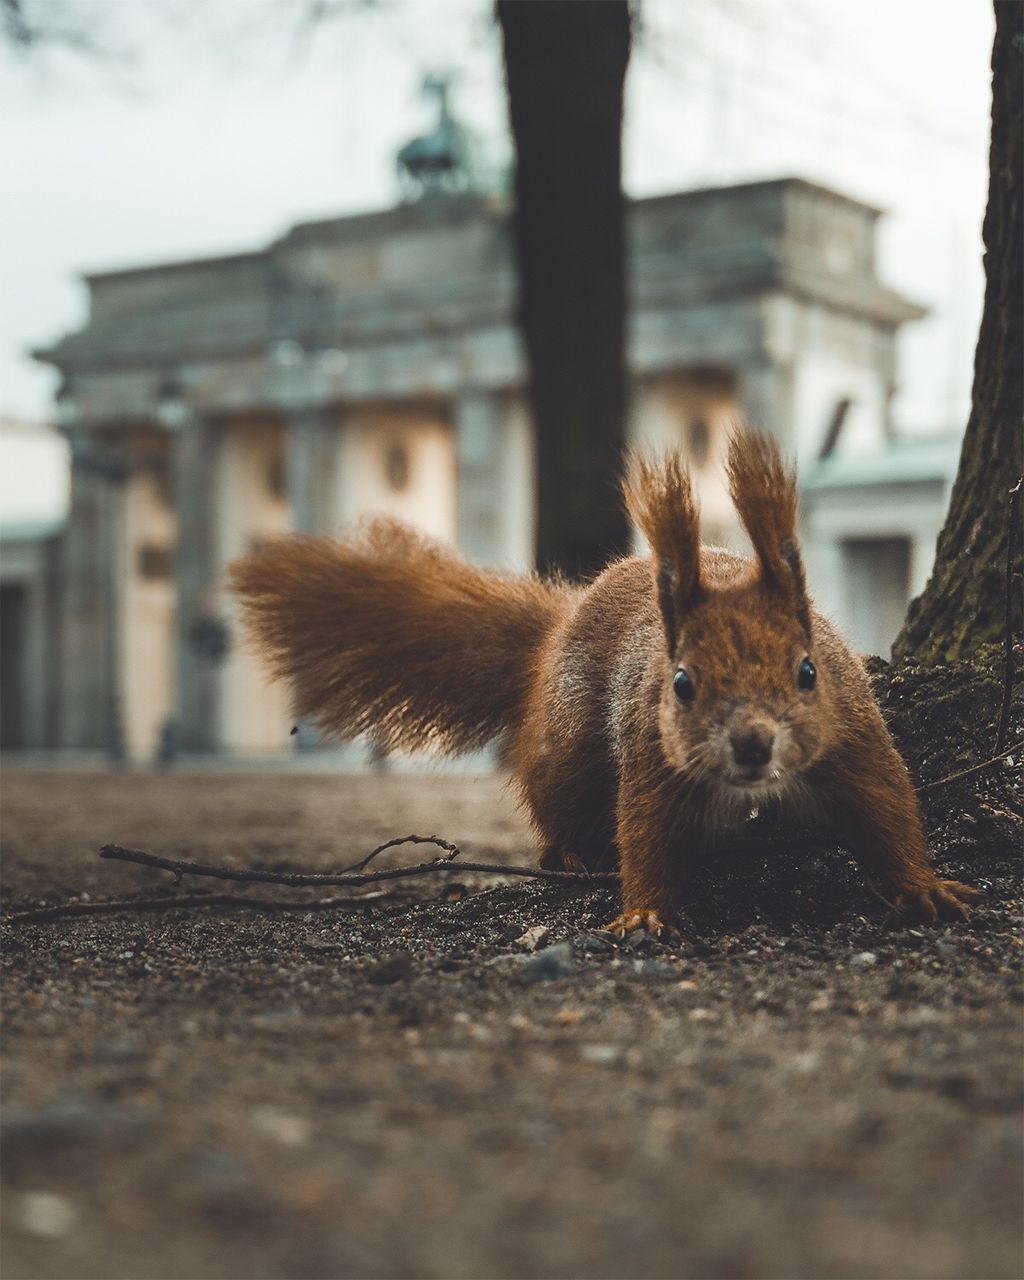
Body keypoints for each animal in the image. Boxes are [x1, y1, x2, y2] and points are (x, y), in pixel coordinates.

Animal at [230, 424, 977, 936]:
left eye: (808, 671)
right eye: (681, 683)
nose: (752, 744)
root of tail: (563, 621)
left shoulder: (852, 736)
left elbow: (888, 807)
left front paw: (924, 886)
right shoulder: (652, 753)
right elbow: (643, 833)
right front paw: (643, 913)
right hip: (569, 747)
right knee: (557, 802)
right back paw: (571, 854)